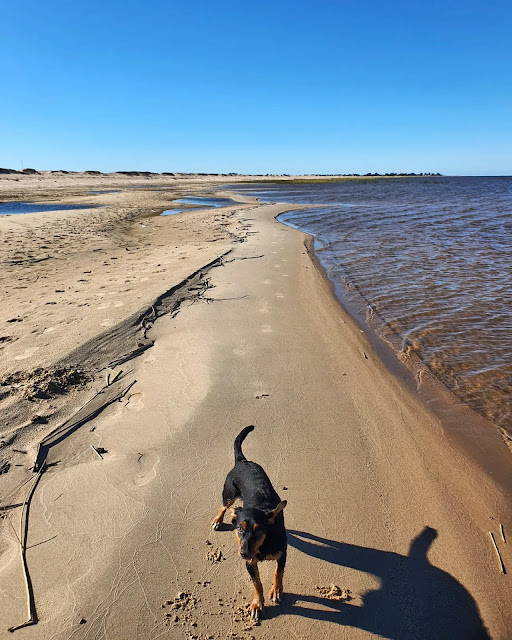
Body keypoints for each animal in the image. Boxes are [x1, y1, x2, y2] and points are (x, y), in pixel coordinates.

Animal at [210, 424, 286, 620]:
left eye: (259, 530)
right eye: (239, 529)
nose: (243, 553)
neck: (264, 544)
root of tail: (242, 461)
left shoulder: (282, 553)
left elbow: (278, 572)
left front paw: (276, 590)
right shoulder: (250, 563)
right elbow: (257, 583)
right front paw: (257, 604)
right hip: (229, 492)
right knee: (224, 506)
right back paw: (218, 520)